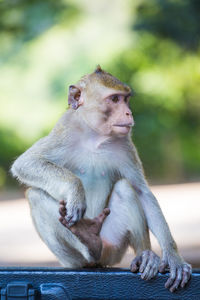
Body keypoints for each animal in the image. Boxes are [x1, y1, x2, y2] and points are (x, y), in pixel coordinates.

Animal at [10, 66, 191, 292]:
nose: (129, 113)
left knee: (125, 188)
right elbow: (26, 163)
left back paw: (144, 255)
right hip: (72, 258)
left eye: (126, 99)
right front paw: (76, 191)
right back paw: (88, 245)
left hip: (113, 248)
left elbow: (142, 191)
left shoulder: (125, 143)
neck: (94, 136)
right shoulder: (64, 129)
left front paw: (174, 257)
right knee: (34, 195)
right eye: (114, 99)